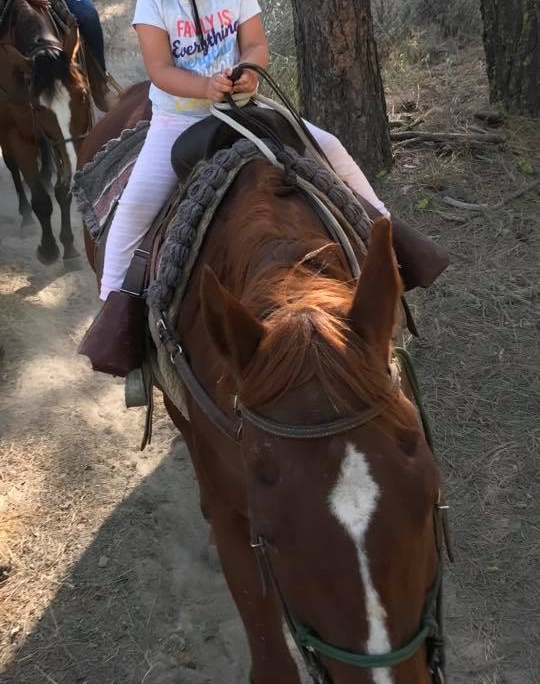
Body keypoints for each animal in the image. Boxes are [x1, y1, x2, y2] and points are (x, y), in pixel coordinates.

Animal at [0, 0, 92, 262]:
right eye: (40, 108)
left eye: (83, 95)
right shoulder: (18, 135)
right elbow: (40, 199)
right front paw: (49, 248)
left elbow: (63, 191)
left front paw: (69, 246)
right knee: (13, 166)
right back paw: (25, 215)